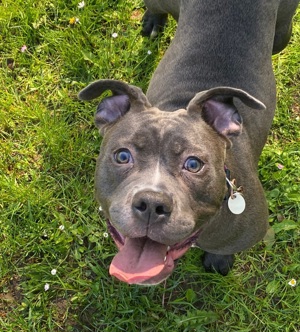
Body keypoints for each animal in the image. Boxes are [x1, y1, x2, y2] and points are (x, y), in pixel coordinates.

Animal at [78, 0, 298, 286]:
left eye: (194, 164)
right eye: (122, 156)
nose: (151, 203)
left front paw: (219, 260)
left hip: (282, 34)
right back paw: (152, 22)